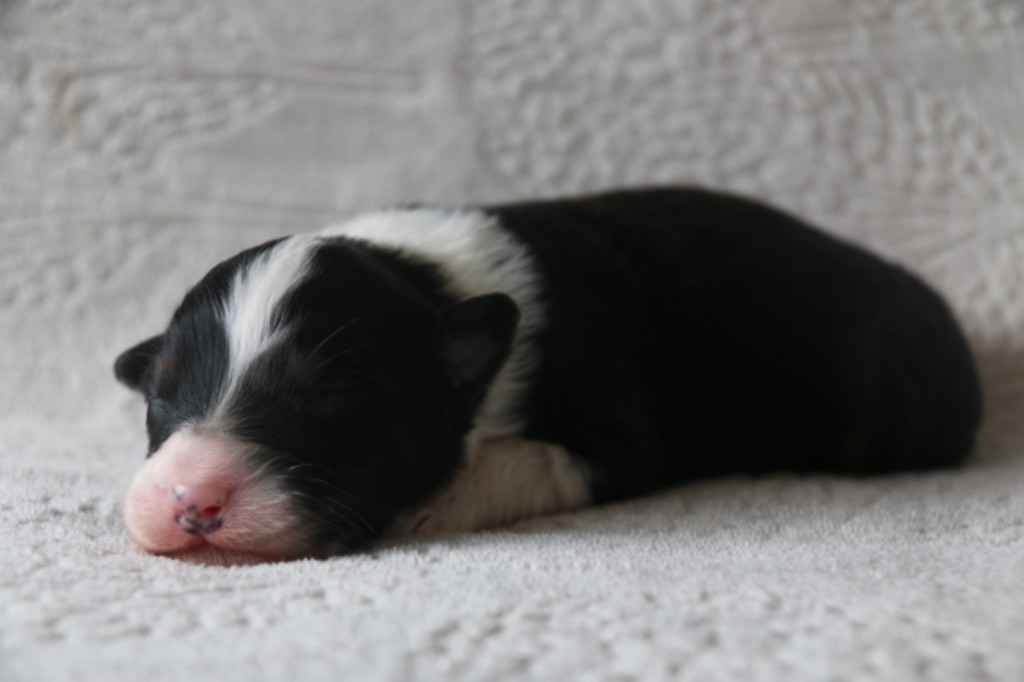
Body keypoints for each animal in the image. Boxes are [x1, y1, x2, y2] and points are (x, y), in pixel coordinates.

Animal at [115, 187, 982, 563]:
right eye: (162, 393)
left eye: (328, 399)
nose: (191, 501)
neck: (430, 286)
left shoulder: (620, 434)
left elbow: (518, 460)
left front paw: (433, 505)